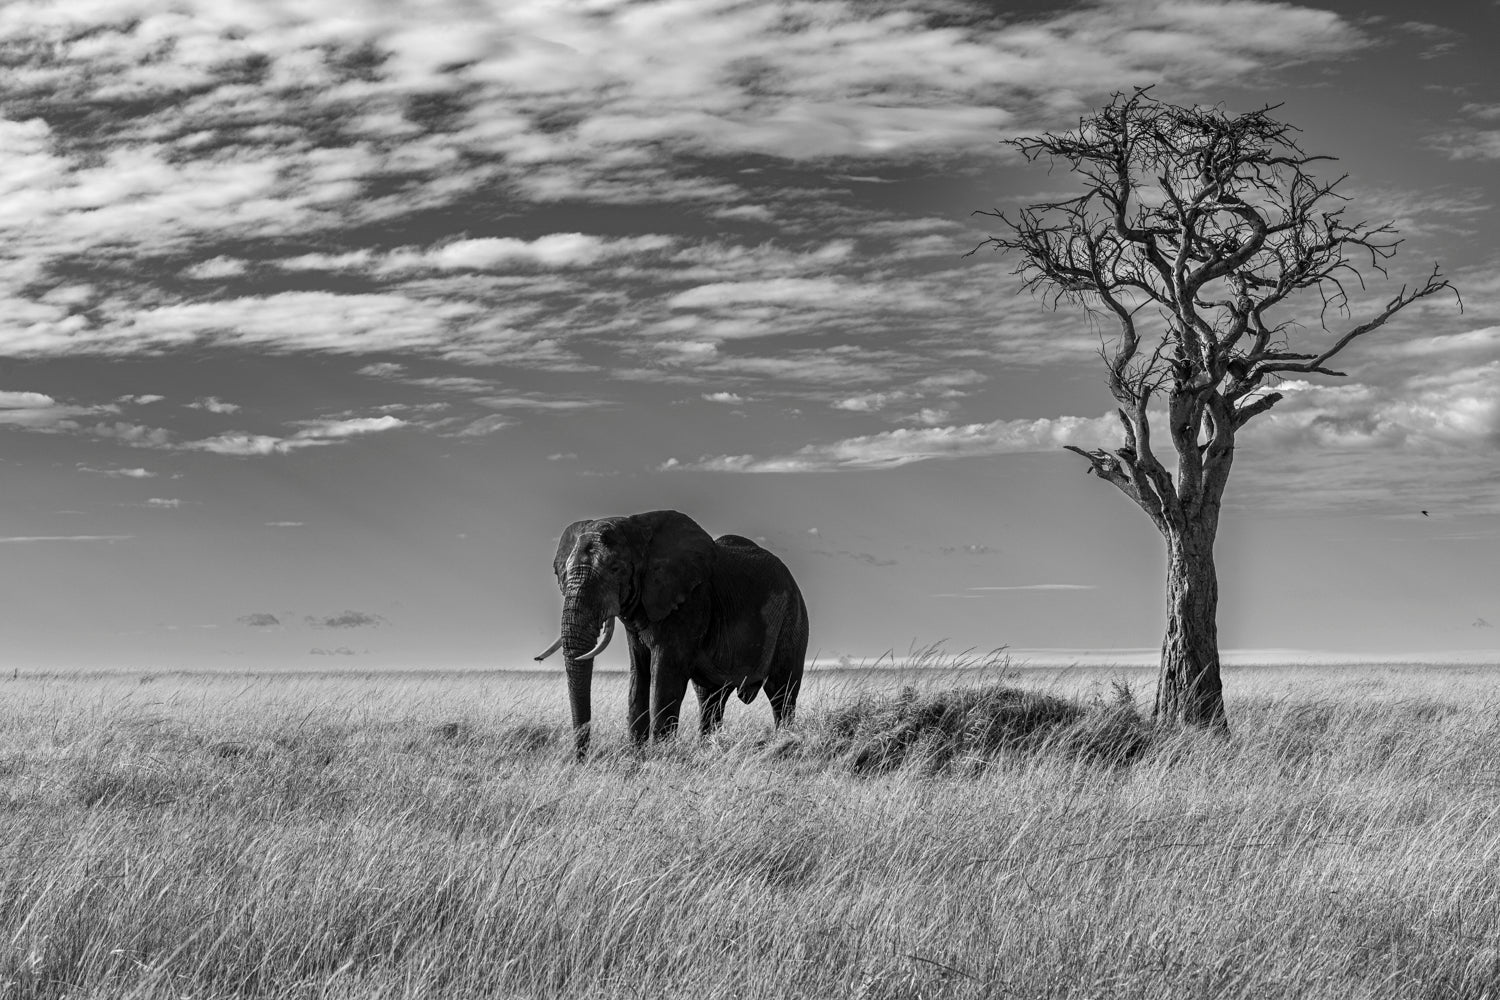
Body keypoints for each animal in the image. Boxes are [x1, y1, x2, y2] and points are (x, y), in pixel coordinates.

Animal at [535, 509, 808, 758]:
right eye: (565, 572)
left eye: (615, 568)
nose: (581, 760)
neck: (637, 529)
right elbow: (638, 675)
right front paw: (636, 756)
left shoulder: (690, 602)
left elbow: (665, 675)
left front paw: (658, 757)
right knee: (710, 699)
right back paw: (707, 749)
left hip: (792, 619)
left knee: (782, 691)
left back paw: (785, 744)